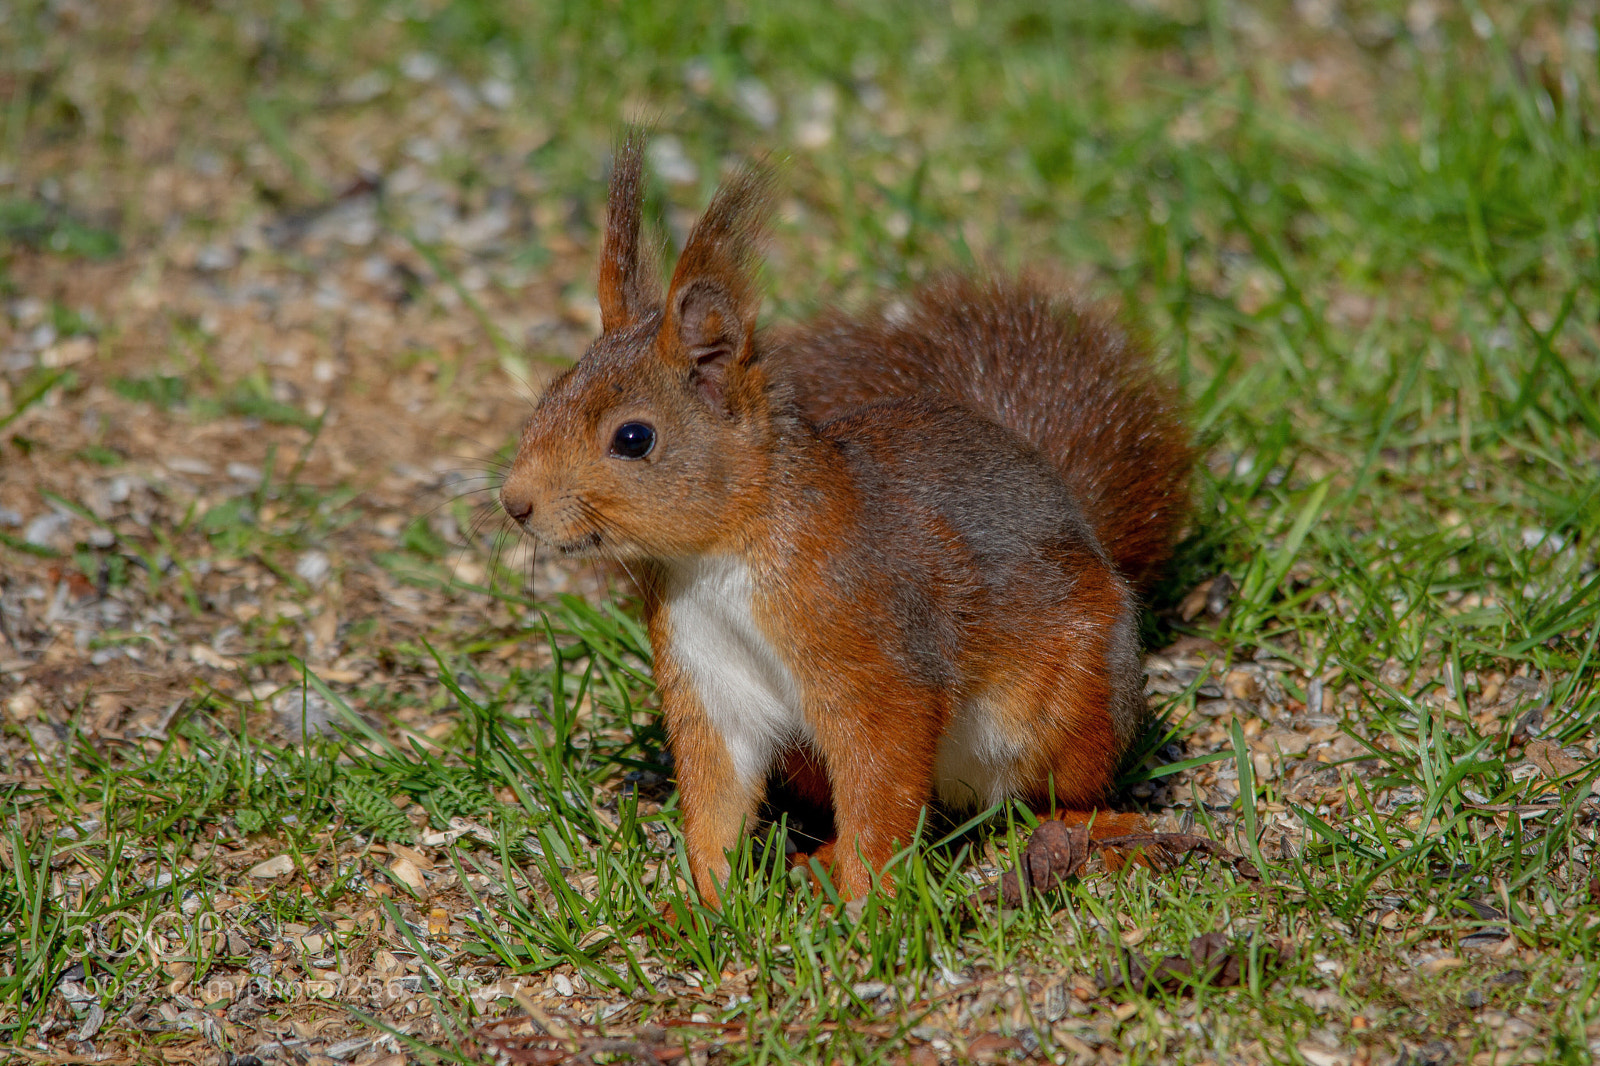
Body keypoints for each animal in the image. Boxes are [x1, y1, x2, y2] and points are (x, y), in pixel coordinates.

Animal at [498, 135, 1194, 906]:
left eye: (633, 438)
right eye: (552, 392)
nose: (514, 502)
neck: (720, 558)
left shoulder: (875, 658)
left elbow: (881, 784)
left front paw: (867, 906)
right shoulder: (708, 677)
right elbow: (716, 794)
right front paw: (706, 904)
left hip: (1074, 701)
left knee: (1062, 790)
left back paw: (1093, 832)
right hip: (808, 759)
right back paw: (819, 860)